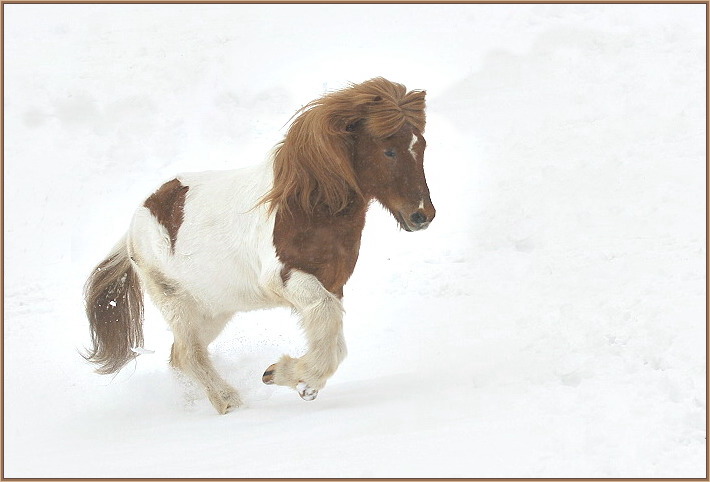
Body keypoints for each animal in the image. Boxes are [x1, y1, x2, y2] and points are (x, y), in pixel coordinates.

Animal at [85, 78, 436, 414]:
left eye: (421, 146)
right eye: (389, 151)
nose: (422, 215)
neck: (306, 205)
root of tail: (135, 223)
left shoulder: (332, 285)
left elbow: (332, 338)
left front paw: (303, 384)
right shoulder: (287, 279)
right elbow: (328, 326)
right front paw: (282, 374)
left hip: (213, 310)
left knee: (179, 357)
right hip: (177, 302)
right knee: (190, 355)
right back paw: (229, 402)